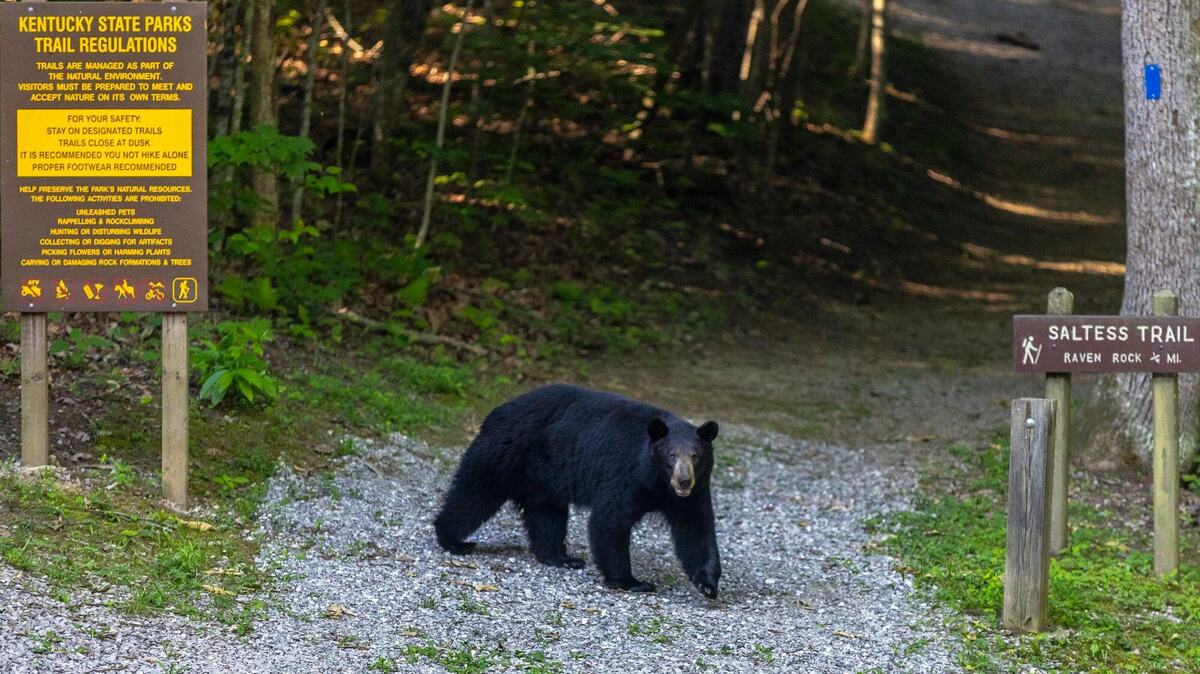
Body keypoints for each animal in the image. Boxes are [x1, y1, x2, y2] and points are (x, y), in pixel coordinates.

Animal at [433, 384, 722, 598]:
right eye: (671, 455)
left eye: (695, 456)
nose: (683, 481)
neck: (658, 483)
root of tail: (497, 410)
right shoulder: (625, 475)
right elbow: (610, 521)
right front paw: (632, 581)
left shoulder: (693, 493)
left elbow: (696, 529)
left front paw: (708, 583)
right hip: (505, 453)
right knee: (475, 495)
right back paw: (453, 540)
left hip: (544, 477)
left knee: (547, 515)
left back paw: (561, 557)